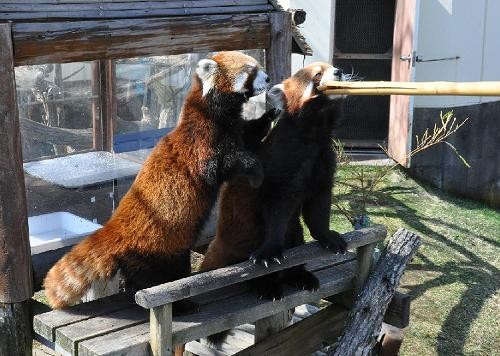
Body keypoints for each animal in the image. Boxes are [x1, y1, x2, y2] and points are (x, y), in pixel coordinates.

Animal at [43, 50, 270, 308]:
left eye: (257, 66)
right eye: (251, 71)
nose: (268, 78)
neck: (214, 115)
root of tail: (116, 229)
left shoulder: (235, 129)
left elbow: (250, 132)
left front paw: (271, 113)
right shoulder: (203, 145)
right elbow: (224, 164)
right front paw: (255, 170)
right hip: (159, 251)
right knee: (158, 277)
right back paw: (180, 304)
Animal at [201, 62, 350, 300]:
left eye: (333, 67)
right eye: (317, 74)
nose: (339, 71)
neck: (315, 133)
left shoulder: (323, 160)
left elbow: (318, 205)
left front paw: (327, 236)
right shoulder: (280, 165)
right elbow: (276, 208)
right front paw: (270, 251)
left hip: (294, 231)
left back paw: (301, 276)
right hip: (244, 238)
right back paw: (267, 286)